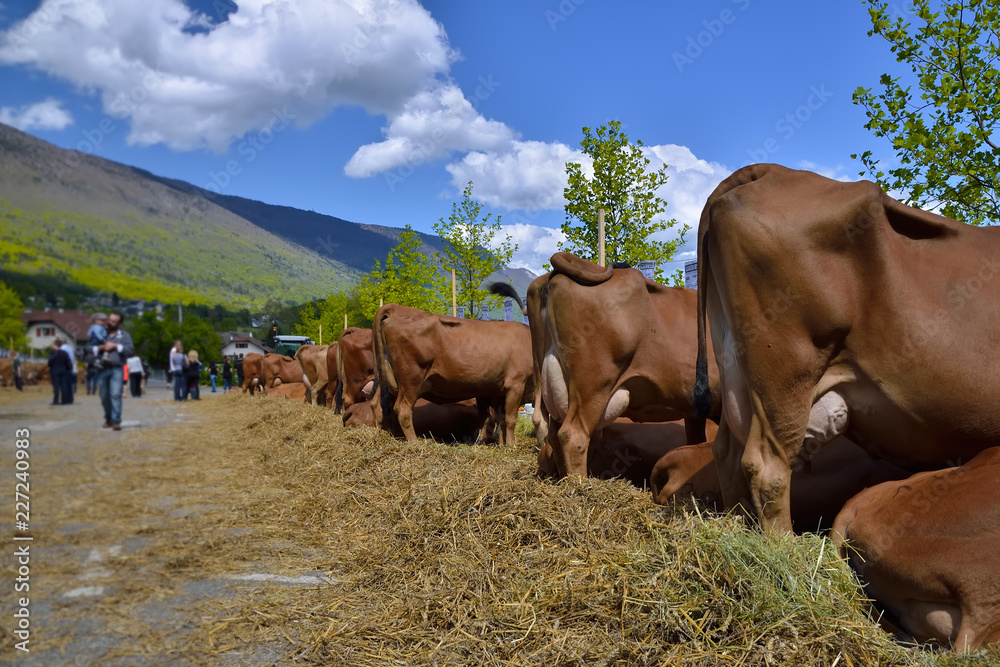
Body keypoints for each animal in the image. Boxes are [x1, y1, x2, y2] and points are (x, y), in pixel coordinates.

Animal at [374, 306, 532, 446]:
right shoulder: (516, 384)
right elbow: (510, 418)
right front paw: (511, 445)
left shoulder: (496, 391)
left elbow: (498, 418)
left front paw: (500, 444)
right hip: (411, 378)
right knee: (403, 409)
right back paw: (414, 442)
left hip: (385, 377)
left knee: (378, 405)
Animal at [692, 164, 1000, 536]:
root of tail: (771, 170)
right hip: (786, 373)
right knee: (766, 465)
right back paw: (786, 546)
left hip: (735, 369)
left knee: (727, 452)